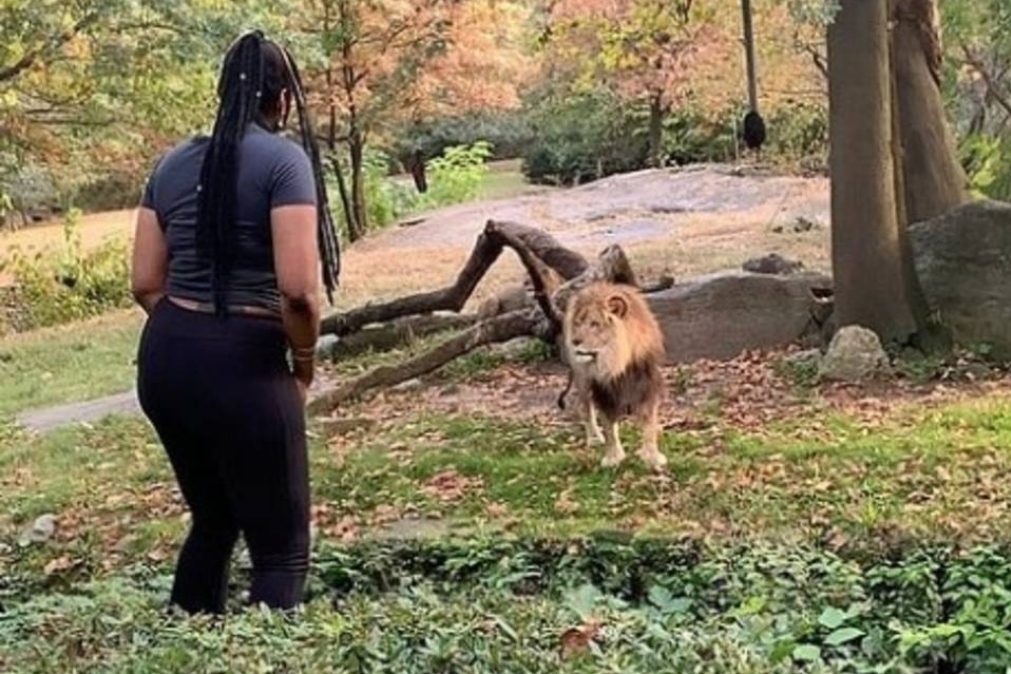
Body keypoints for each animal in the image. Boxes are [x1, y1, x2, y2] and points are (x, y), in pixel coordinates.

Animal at [558, 282, 667, 472]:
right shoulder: (603, 391)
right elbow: (609, 427)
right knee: (585, 408)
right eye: (578, 323)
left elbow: (649, 424)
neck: (616, 363)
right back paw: (594, 438)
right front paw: (613, 458)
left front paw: (652, 457)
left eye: (594, 324)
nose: (575, 341)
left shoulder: (646, 385)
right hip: (582, 380)